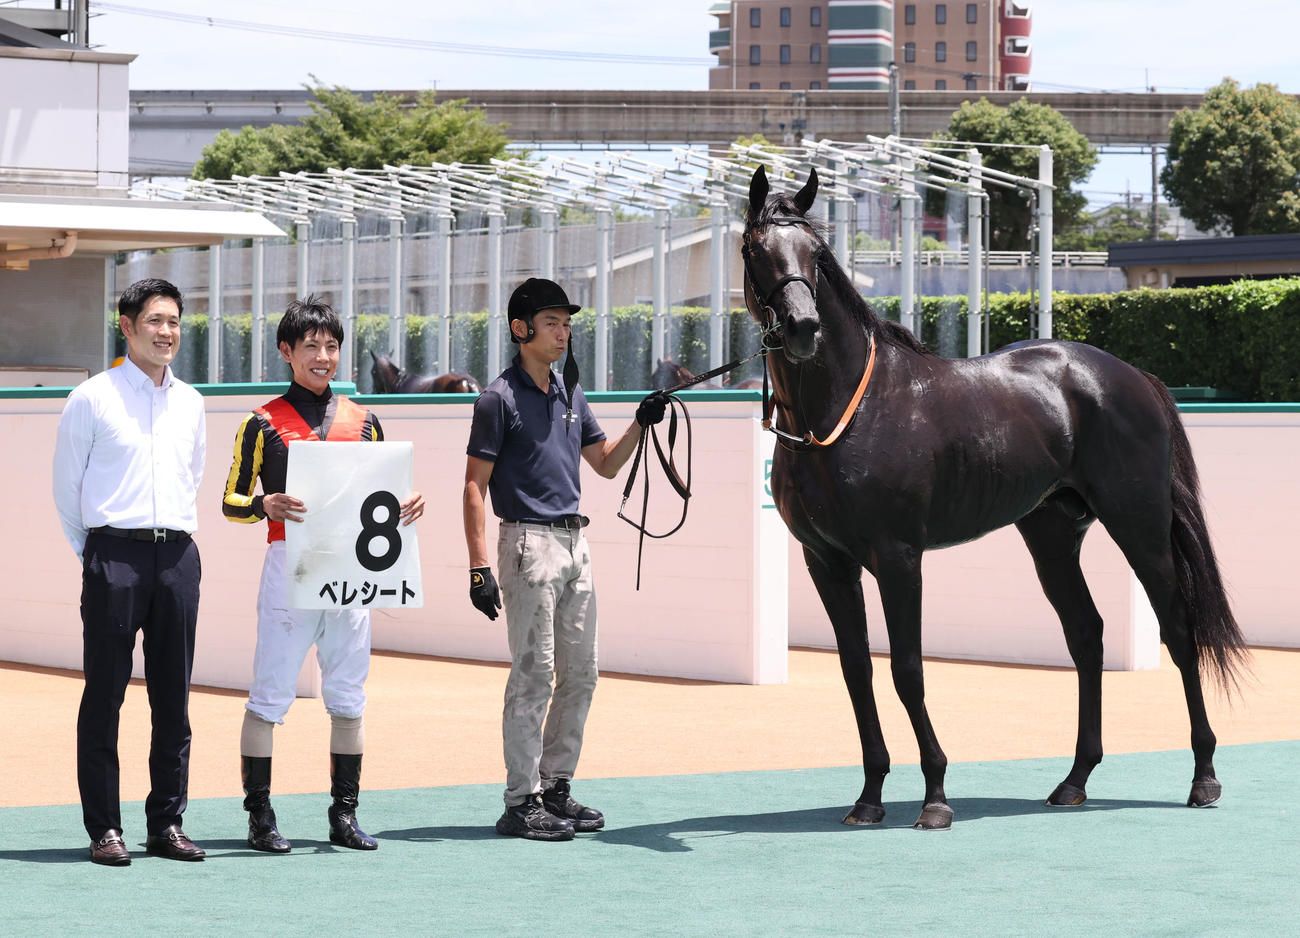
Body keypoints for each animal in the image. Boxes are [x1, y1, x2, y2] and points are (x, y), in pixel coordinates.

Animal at [742, 165, 1248, 831]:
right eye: (756, 250)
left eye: (817, 255)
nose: (803, 329)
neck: (848, 410)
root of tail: (1132, 376)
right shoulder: (827, 562)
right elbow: (857, 670)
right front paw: (869, 797)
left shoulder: (898, 558)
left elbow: (908, 670)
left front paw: (935, 796)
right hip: (1053, 536)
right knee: (1086, 635)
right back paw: (1074, 781)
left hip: (1139, 527)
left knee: (1180, 632)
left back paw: (1204, 777)